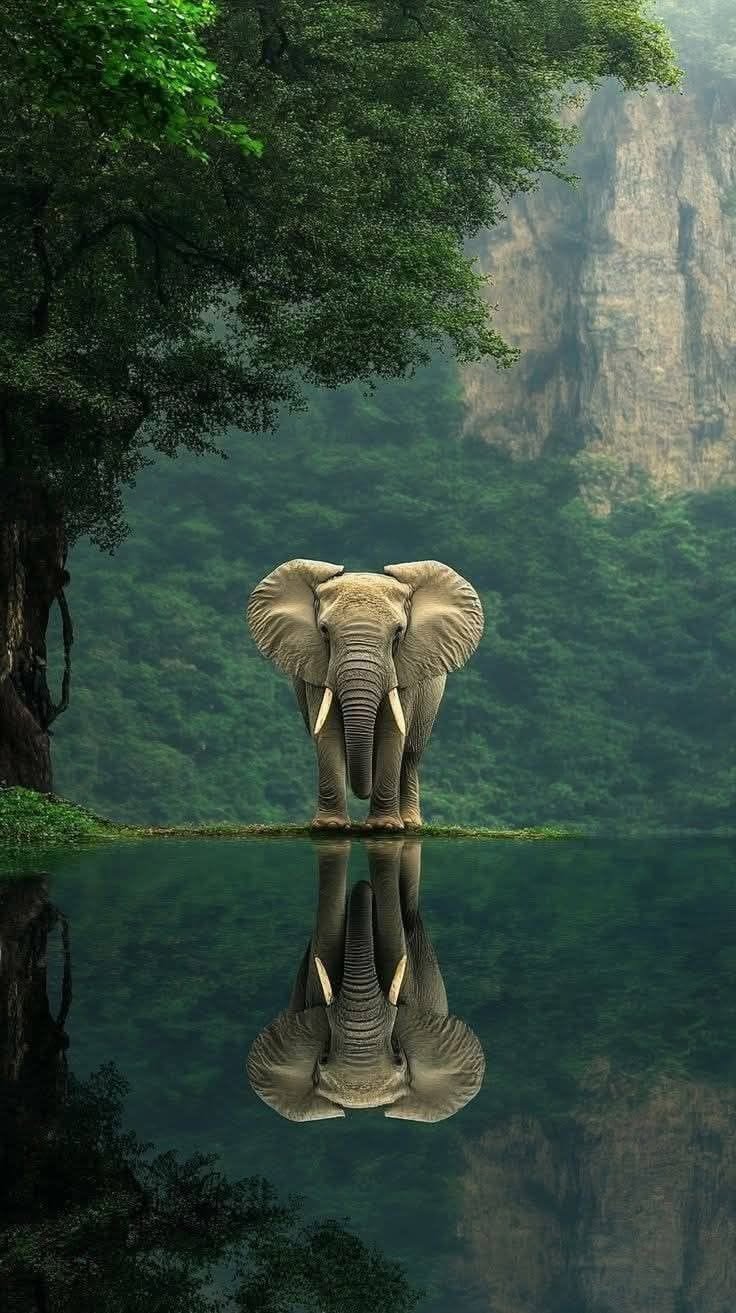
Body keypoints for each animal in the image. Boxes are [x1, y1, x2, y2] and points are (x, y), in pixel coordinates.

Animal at [247, 559, 484, 828]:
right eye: (324, 630)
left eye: (399, 632)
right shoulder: (315, 665)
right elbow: (328, 728)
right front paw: (331, 827)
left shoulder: (406, 669)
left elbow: (393, 729)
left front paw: (385, 827)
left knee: (411, 755)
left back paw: (410, 823)